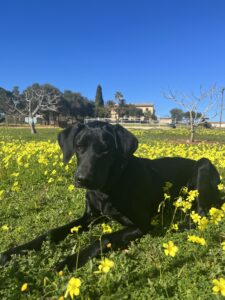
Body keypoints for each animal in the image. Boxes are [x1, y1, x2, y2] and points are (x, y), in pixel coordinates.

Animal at [0, 120, 221, 270]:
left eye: (105, 150)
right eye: (79, 146)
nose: (82, 179)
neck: (107, 188)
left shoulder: (140, 225)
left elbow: (105, 237)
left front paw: (69, 261)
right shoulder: (90, 216)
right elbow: (51, 232)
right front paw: (13, 252)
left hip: (203, 165)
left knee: (201, 214)